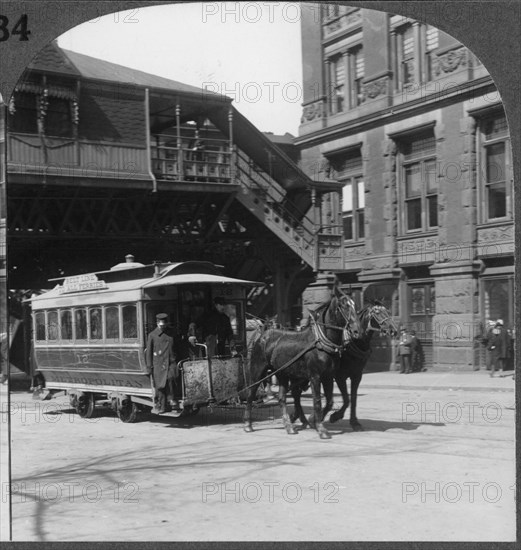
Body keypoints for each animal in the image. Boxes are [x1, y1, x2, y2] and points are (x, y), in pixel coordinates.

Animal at [243, 286, 358, 442]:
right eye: (344, 306)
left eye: (354, 305)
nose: (356, 330)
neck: (321, 343)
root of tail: (262, 335)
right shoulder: (315, 376)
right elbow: (317, 401)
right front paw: (320, 428)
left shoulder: (328, 376)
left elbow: (329, 401)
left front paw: (316, 420)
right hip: (258, 370)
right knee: (251, 393)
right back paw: (248, 424)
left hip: (282, 373)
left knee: (282, 398)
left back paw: (288, 426)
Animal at [290, 304, 396, 434]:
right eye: (377, 313)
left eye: (388, 312)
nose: (394, 330)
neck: (354, 342)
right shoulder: (339, 376)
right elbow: (346, 399)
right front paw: (331, 416)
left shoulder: (356, 376)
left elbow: (353, 399)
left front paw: (354, 422)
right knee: (296, 393)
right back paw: (301, 418)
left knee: (296, 393)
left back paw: (297, 417)